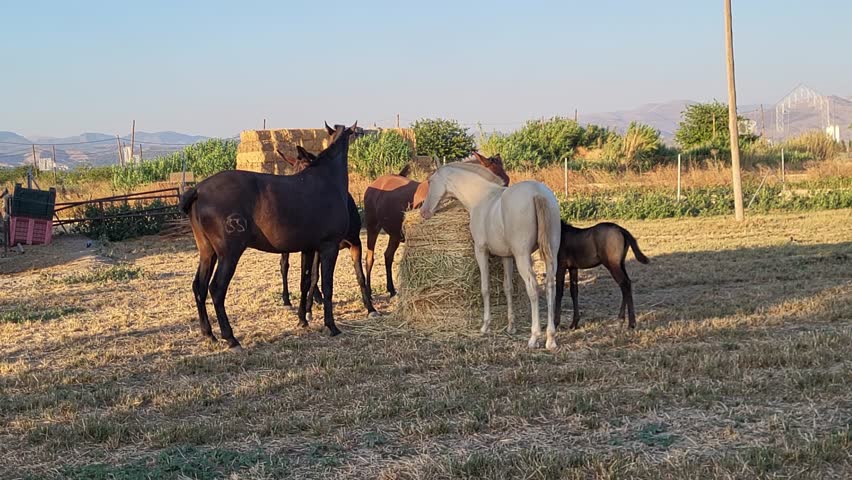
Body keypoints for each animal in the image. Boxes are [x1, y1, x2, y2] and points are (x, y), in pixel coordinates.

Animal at [179, 121, 356, 350]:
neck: (327, 178)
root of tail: (199, 190)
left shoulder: (308, 248)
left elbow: (305, 281)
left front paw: (303, 319)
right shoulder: (329, 246)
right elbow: (327, 285)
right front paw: (331, 326)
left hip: (208, 252)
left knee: (199, 287)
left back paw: (209, 334)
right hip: (229, 254)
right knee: (216, 289)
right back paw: (230, 337)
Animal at [275, 147, 377, 320]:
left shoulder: (355, 243)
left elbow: (360, 276)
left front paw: (370, 308)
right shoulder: (319, 249)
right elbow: (314, 276)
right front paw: (308, 310)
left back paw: (317, 298)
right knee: (285, 266)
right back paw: (288, 300)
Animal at [363, 152, 509, 298]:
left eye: (507, 180)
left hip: (394, 235)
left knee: (388, 256)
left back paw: (392, 290)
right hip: (372, 227)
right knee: (369, 259)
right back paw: (368, 293)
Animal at [419, 159, 561, 350]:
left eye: (430, 181)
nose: (423, 212)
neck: (482, 198)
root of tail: (537, 193)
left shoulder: (481, 250)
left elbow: (485, 288)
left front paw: (485, 325)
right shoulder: (507, 256)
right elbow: (508, 288)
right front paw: (511, 326)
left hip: (522, 256)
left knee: (533, 287)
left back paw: (534, 337)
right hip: (551, 252)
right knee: (551, 286)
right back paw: (550, 338)